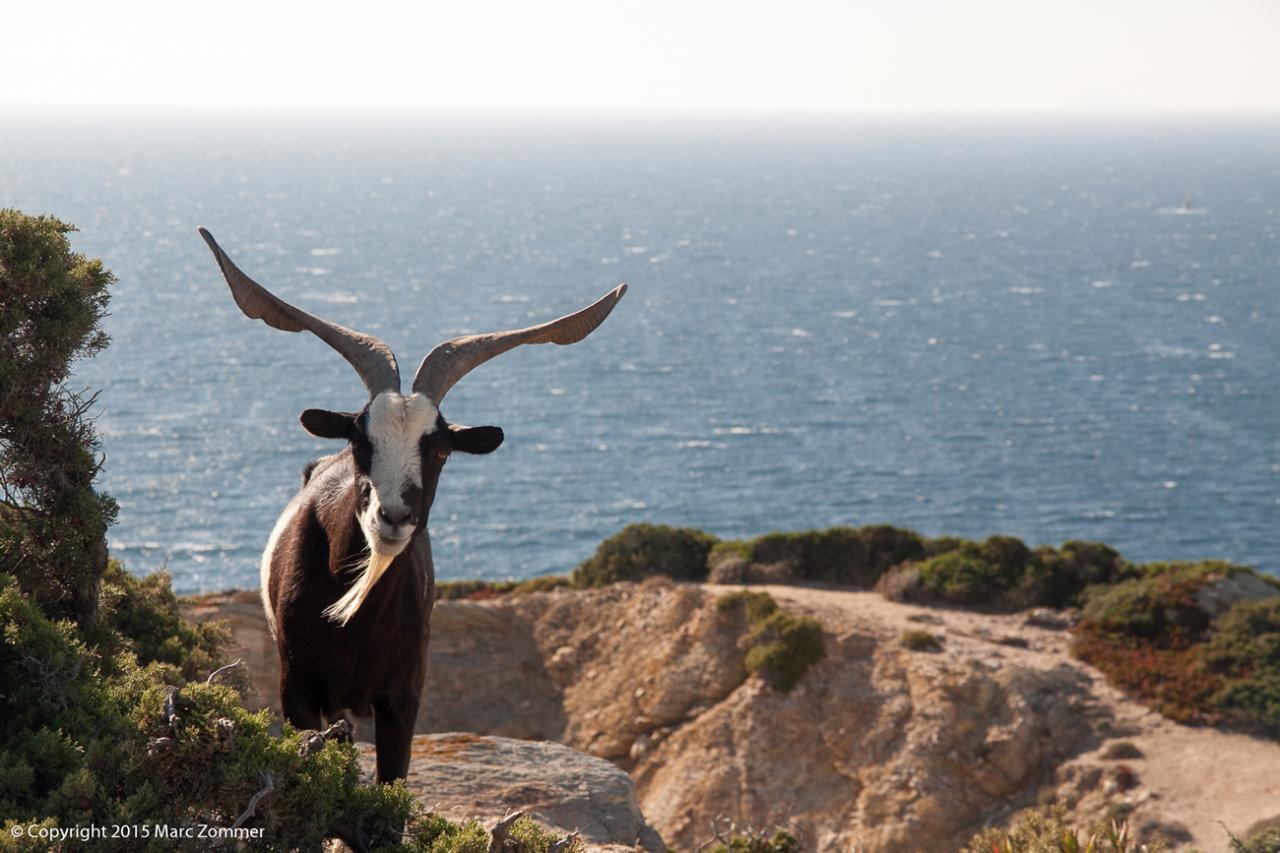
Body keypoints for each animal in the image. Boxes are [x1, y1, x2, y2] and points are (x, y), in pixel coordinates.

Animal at [197, 225, 627, 783]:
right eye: (361, 442)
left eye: (439, 450)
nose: (394, 516)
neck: (354, 620)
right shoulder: (298, 692)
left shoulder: (403, 698)